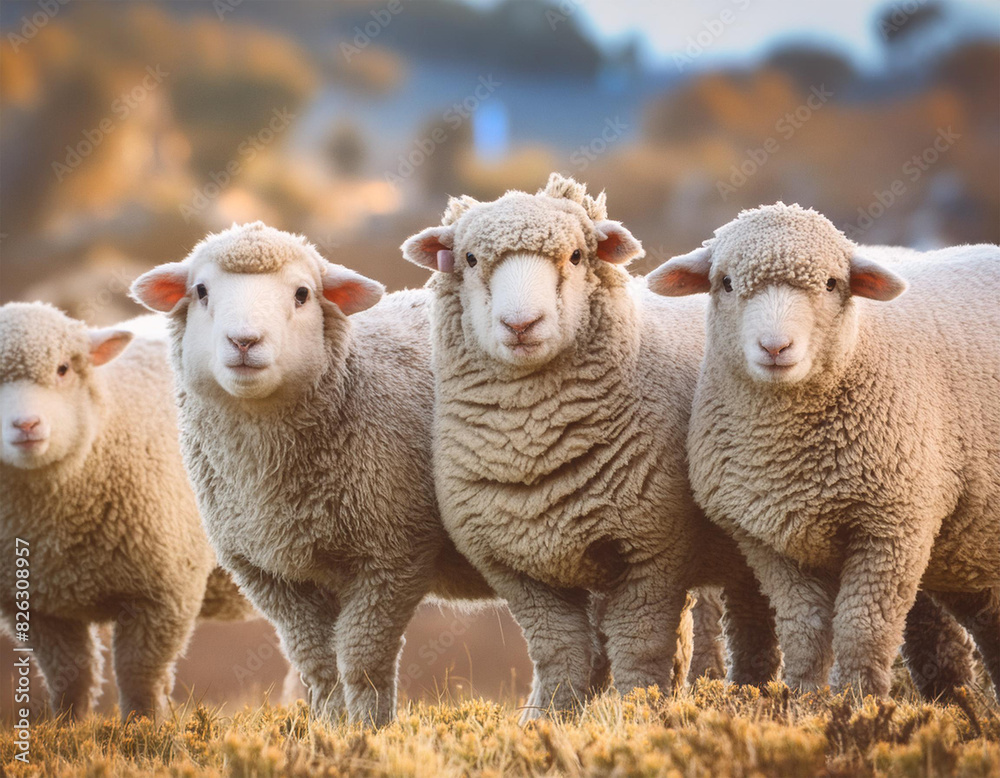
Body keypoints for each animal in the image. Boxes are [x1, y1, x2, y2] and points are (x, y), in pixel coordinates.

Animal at [0, 302, 254, 721]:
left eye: (63, 369)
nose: (26, 425)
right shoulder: (40, 607)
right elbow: (71, 677)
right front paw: (68, 727)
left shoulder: (165, 592)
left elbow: (139, 675)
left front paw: (143, 726)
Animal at [129, 222, 498, 728]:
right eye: (201, 291)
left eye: (302, 294)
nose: (244, 342)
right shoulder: (269, 572)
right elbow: (317, 662)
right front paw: (329, 727)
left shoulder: (394, 556)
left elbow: (361, 660)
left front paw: (368, 729)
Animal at [401, 174, 783, 718]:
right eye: (470, 258)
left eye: (578, 256)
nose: (522, 325)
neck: (534, 451)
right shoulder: (519, 568)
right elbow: (559, 650)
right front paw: (551, 717)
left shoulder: (653, 554)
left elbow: (639, 646)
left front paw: (639, 711)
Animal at [646, 202, 1000, 698]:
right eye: (726, 282)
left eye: (832, 283)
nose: (775, 347)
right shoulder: (772, 542)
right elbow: (806, 632)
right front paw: (807, 701)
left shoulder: (893, 529)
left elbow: (862, 629)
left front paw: (859, 701)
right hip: (968, 549)